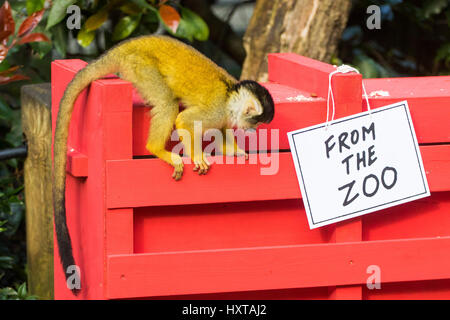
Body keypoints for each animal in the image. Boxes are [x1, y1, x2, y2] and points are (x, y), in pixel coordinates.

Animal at [52, 35, 274, 296]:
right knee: (168, 103)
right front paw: (197, 156)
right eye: (257, 122)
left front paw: (236, 151)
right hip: (140, 66)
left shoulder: (223, 115)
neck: (230, 95)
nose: (254, 131)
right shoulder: (217, 109)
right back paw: (157, 149)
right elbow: (185, 121)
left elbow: (220, 132)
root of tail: (125, 47)